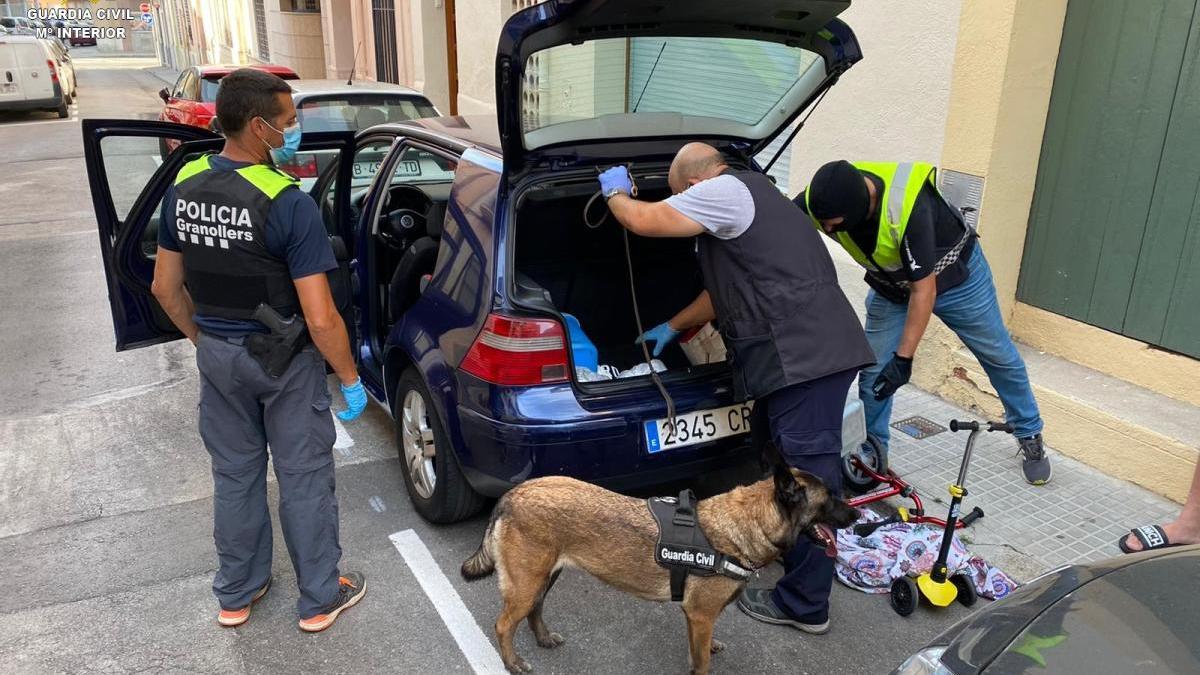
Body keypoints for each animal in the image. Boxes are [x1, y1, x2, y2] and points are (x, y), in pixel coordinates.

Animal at [458, 449, 864, 667]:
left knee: (534, 610)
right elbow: (701, 665)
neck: (746, 524)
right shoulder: (700, 615)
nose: (859, 515)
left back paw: (542, 639)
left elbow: (700, 648)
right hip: (527, 582)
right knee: (504, 625)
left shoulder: (698, 619)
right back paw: (513, 663)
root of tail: (514, 494)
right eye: (830, 497)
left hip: (543, 576)